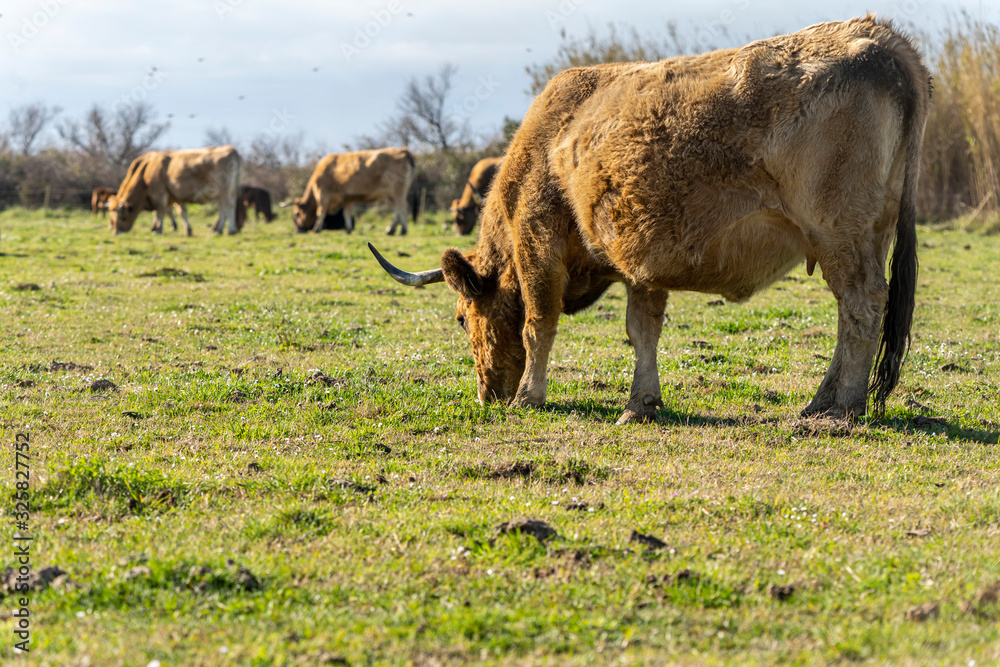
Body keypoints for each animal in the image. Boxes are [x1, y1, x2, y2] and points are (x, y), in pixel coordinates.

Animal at [109, 145, 245, 236]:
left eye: (121, 217)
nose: (116, 231)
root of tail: (230, 149)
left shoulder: (160, 193)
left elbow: (160, 212)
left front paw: (158, 229)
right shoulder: (176, 195)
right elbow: (181, 212)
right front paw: (187, 230)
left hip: (223, 192)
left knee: (227, 207)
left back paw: (226, 230)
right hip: (227, 192)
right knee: (225, 209)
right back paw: (219, 229)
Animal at [370, 16, 931, 425]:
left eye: (462, 318)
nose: (486, 395)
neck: (549, 140)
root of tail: (878, 34)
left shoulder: (538, 247)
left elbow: (537, 325)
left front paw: (529, 396)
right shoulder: (642, 262)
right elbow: (643, 330)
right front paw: (641, 404)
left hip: (839, 235)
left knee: (861, 304)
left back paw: (842, 409)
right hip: (871, 233)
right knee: (851, 313)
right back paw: (818, 401)